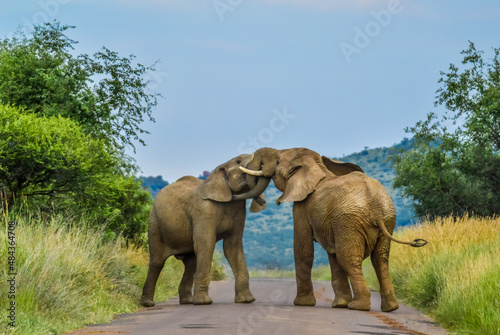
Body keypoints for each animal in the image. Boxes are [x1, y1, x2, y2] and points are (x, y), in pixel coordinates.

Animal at [139, 154, 272, 308]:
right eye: (238, 161)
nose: (262, 202)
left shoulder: (239, 212)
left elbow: (232, 247)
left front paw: (246, 300)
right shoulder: (203, 212)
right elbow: (206, 245)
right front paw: (204, 302)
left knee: (191, 263)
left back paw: (187, 302)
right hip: (154, 223)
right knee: (157, 262)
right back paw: (148, 304)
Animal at [233, 147, 426, 312]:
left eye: (278, 161)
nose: (235, 196)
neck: (317, 167)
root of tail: (375, 205)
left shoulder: (302, 208)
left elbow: (303, 250)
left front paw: (303, 304)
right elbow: (332, 256)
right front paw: (340, 305)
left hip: (350, 221)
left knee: (348, 259)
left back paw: (358, 306)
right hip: (385, 219)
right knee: (380, 259)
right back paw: (390, 308)